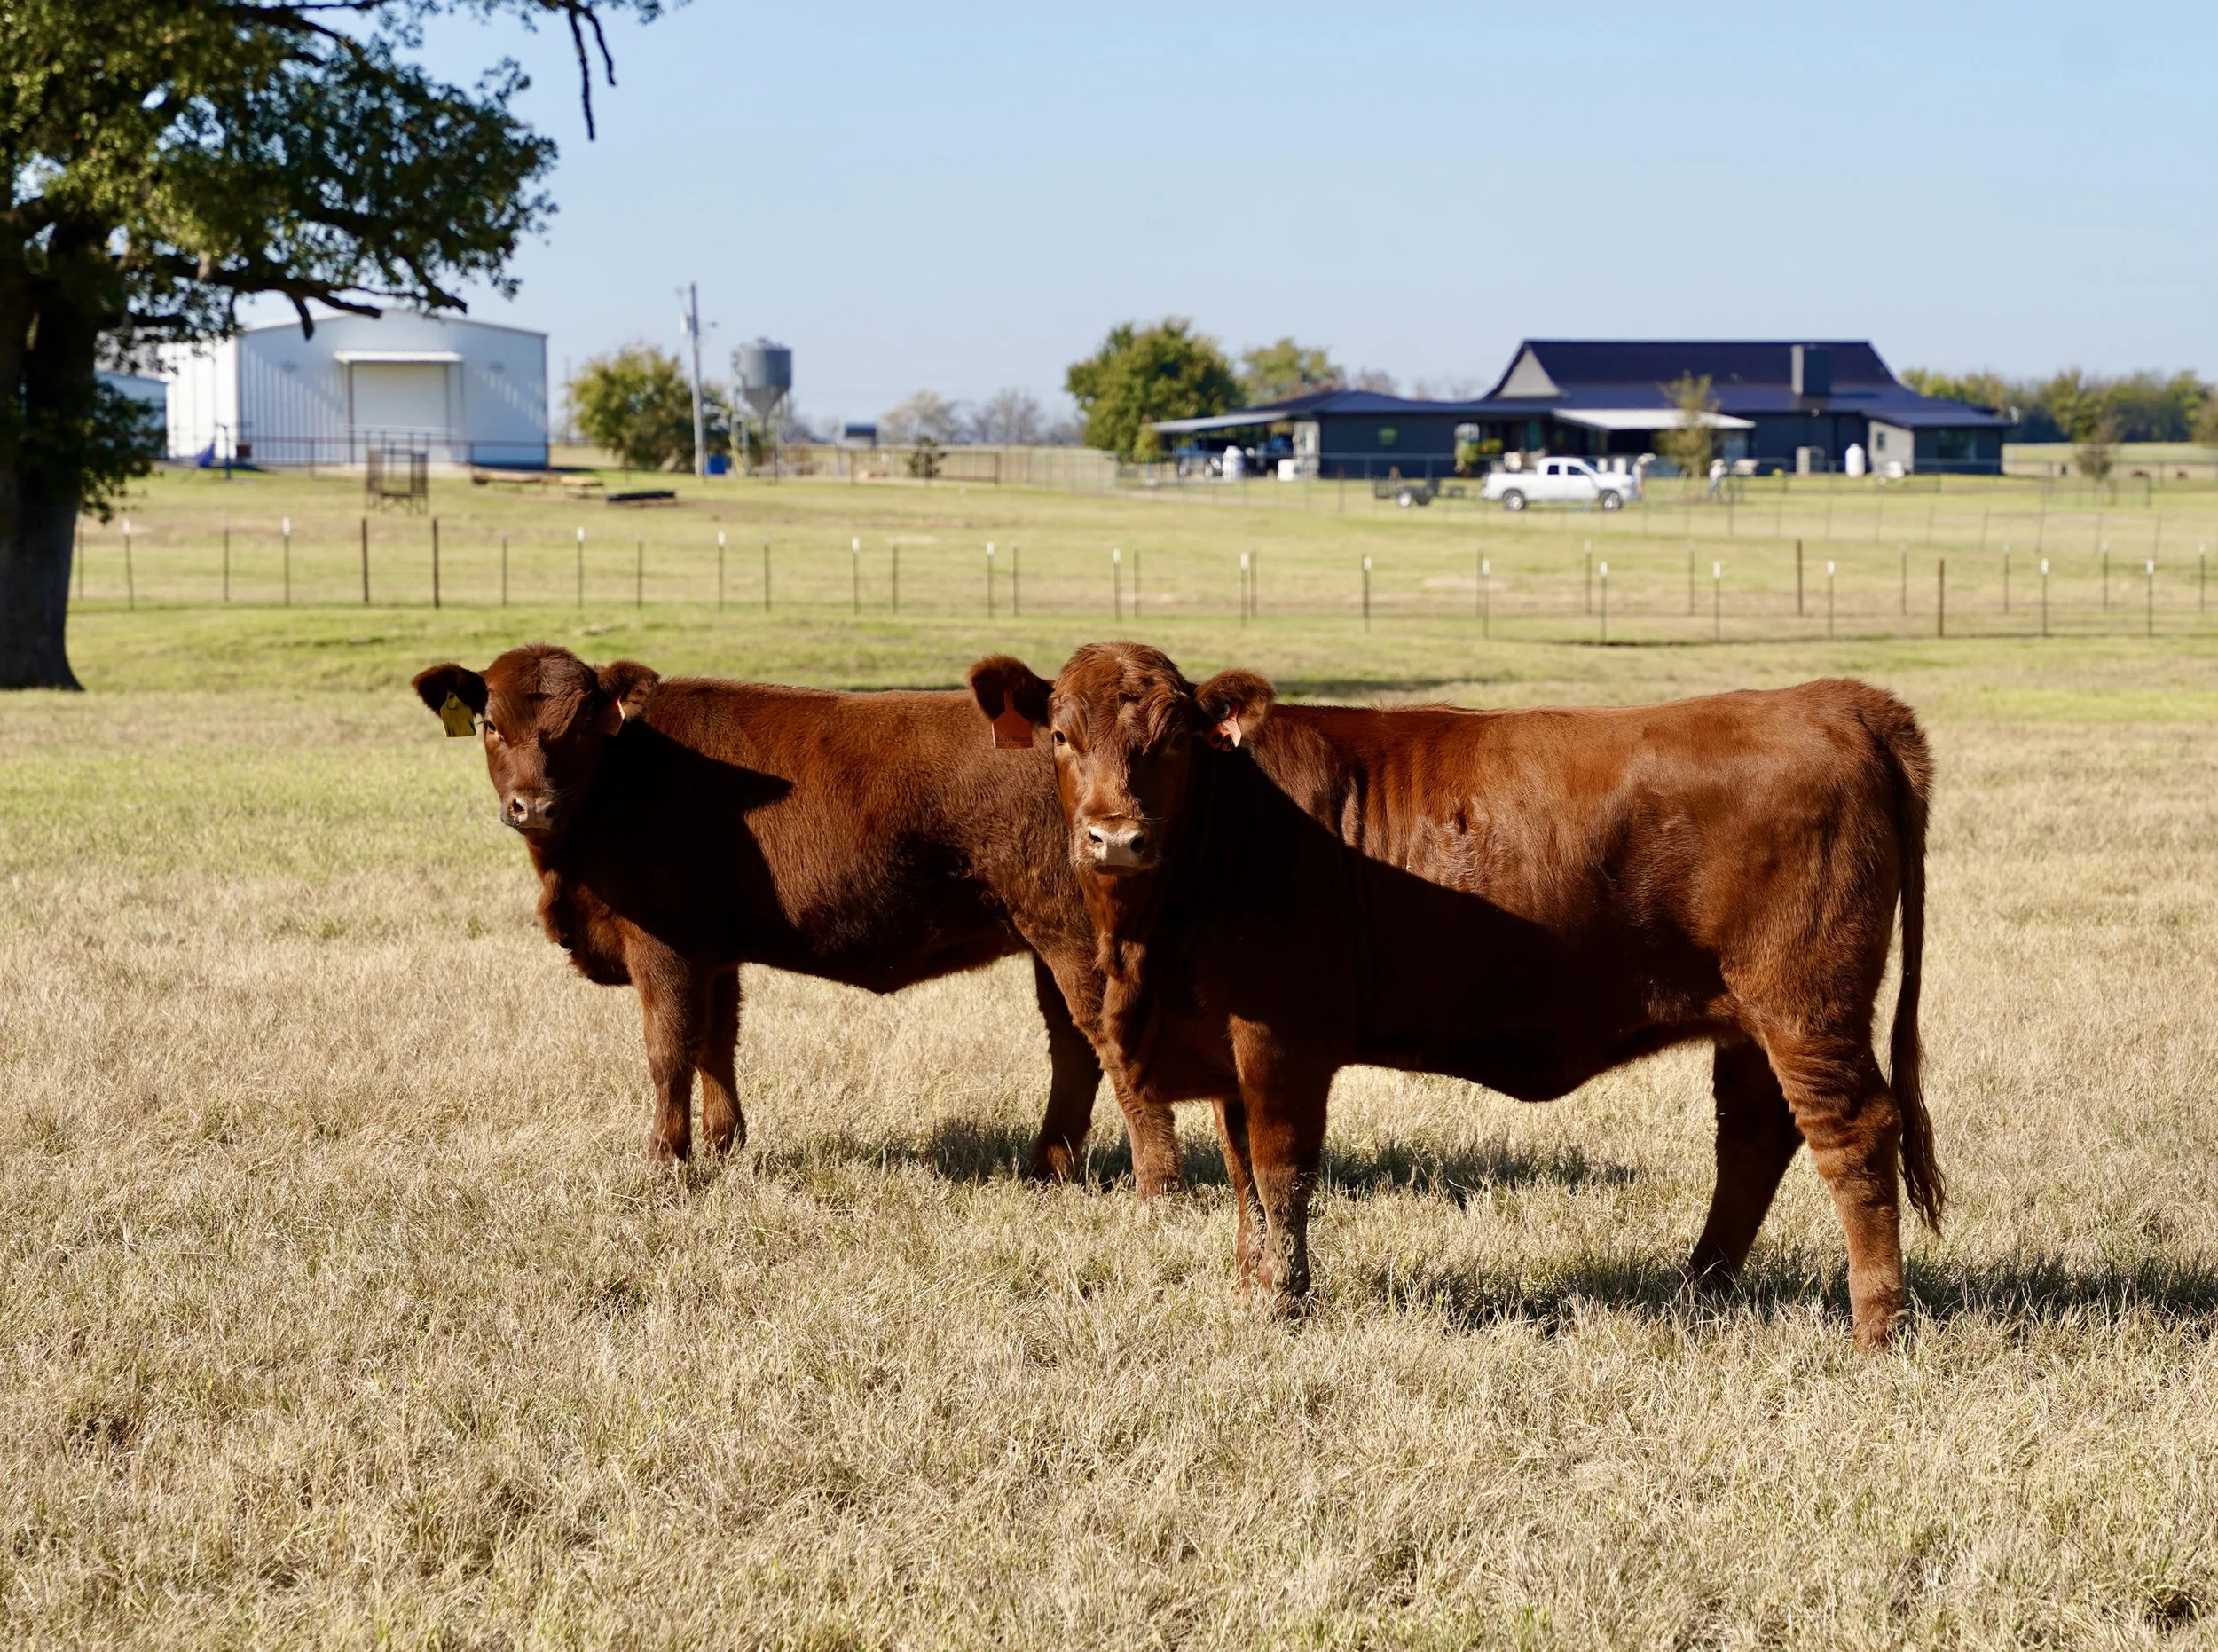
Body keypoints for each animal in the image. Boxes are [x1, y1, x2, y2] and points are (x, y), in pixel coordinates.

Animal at [410, 643, 1184, 1185]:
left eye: (579, 728)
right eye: (490, 725)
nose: (532, 805)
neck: (625, 780)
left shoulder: (663, 944)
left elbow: (668, 1052)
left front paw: (665, 1163)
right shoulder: (712, 951)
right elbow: (715, 1046)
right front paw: (724, 1148)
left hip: (1069, 940)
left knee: (1104, 1045)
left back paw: (1152, 1181)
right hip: (1046, 942)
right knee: (1073, 1051)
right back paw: (1047, 1166)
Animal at [973, 643, 1941, 1350]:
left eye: (1174, 740)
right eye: (1060, 735)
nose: (1115, 837)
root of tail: (1833, 700)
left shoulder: (1283, 1036)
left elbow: (1283, 1171)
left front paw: (1284, 1303)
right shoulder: (1227, 1043)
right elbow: (1245, 1172)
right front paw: (1251, 1289)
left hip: (1805, 1005)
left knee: (1854, 1133)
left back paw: (1875, 1326)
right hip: (1747, 1021)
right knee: (1752, 1138)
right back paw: (1697, 1291)